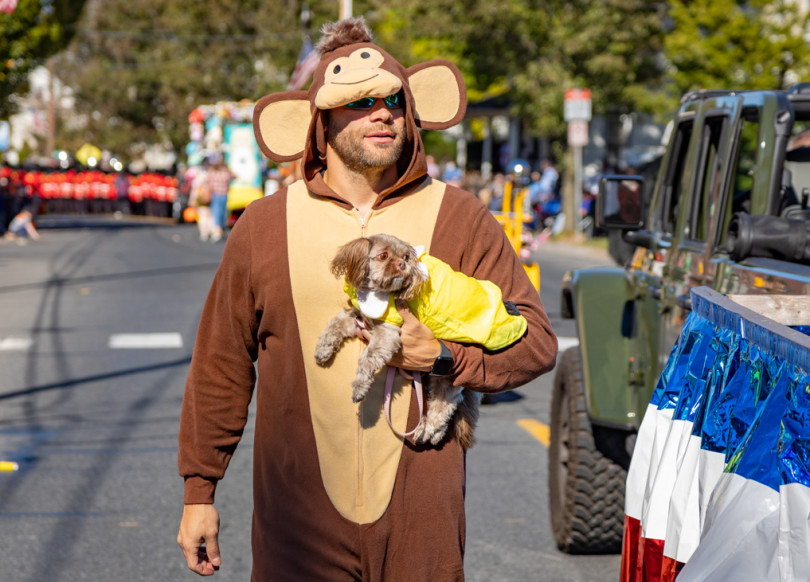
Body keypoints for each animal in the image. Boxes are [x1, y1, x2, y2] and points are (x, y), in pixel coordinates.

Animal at [310, 235, 480, 450]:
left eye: (406, 257)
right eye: (383, 256)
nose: (402, 263)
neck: (377, 292)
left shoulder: (387, 333)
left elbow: (367, 359)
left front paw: (359, 387)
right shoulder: (357, 317)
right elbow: (334, 324)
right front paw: (323, 350)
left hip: (446, 375)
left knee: (447, 401)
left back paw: (429, 430)